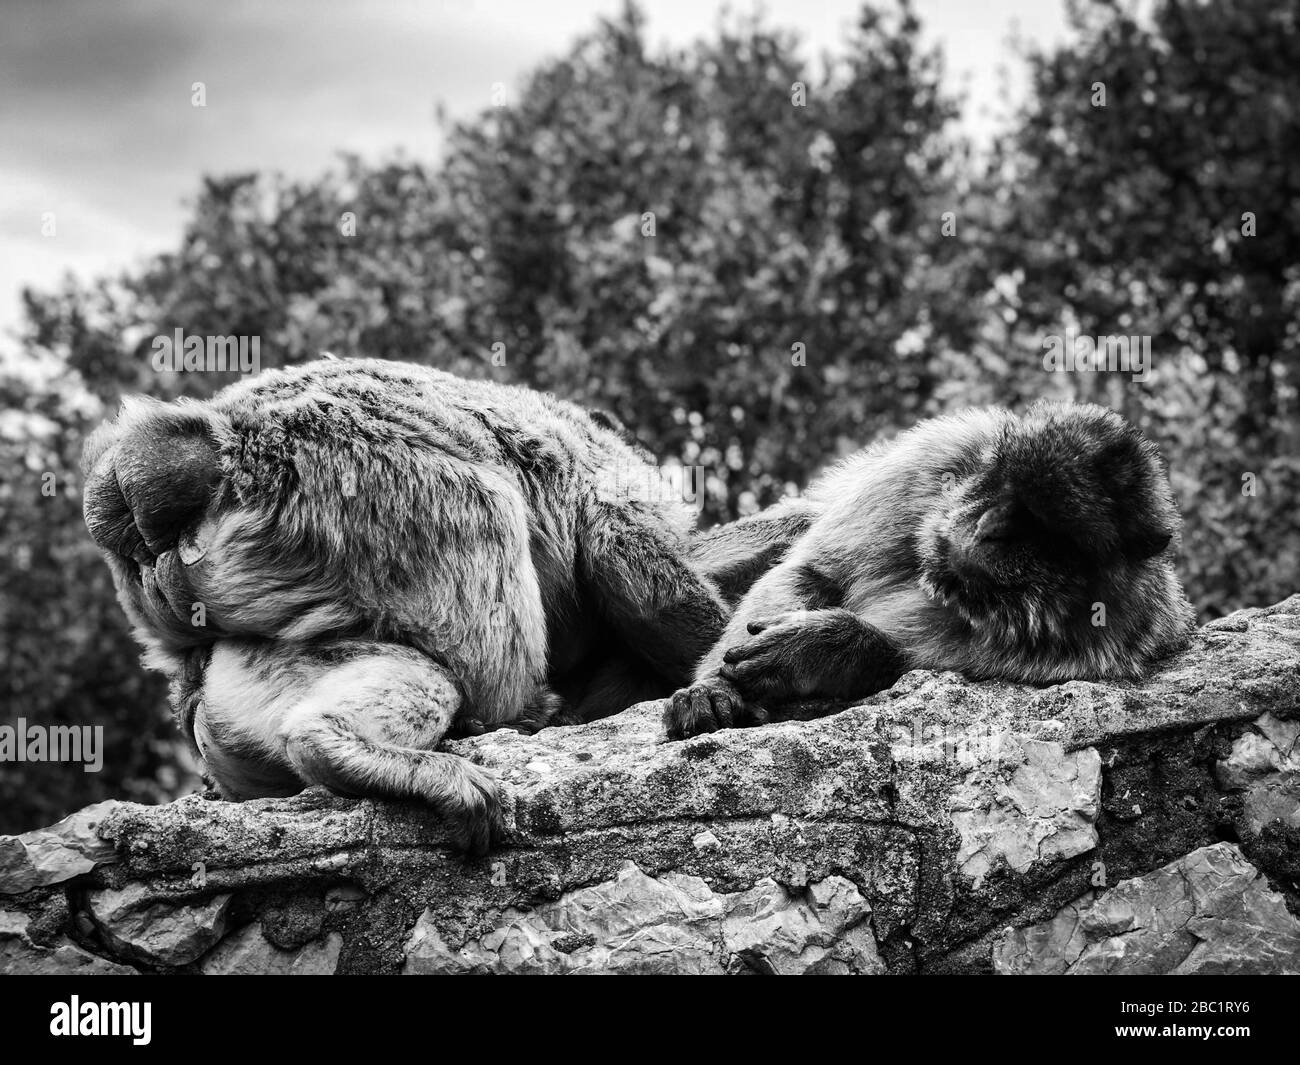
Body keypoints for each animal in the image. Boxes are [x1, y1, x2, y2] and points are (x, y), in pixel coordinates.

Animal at [670, 400, 1196, 743]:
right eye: (1006, 488)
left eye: (1044, 528)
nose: (989, 527)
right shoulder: (936, 458)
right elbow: (813, 572)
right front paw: (714, 687)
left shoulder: (1106, 630)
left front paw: (826, 649)